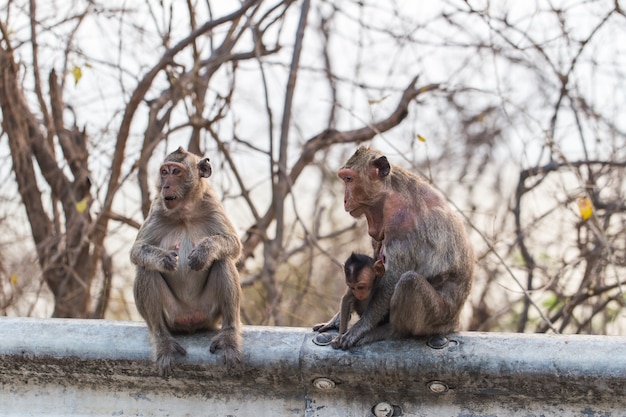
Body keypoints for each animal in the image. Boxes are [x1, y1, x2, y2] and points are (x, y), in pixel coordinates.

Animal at [130, 146, 241, 376]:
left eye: (176, 171)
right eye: (164, 172)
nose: (165, 185)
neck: (185, 212)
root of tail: (190, 321)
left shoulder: (212, 204)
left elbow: (233, 244)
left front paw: (204, 252)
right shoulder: (158, 207)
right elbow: (137, 251)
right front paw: (164, 259)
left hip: (209, 313)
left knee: (222, 261)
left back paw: (229, 335)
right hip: (173, 316)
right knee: (146, 269)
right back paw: (162, 341)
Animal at [314, 145, 476, 348]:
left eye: (349, 179)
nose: (345, 199)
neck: (389, 195)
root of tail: (454, 321)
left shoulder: (402, 223)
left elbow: (393, 276)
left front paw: (359, 328)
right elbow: (374, 262)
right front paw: (335, 320)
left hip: (438, 317)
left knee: (409, 281)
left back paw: (392, 331)